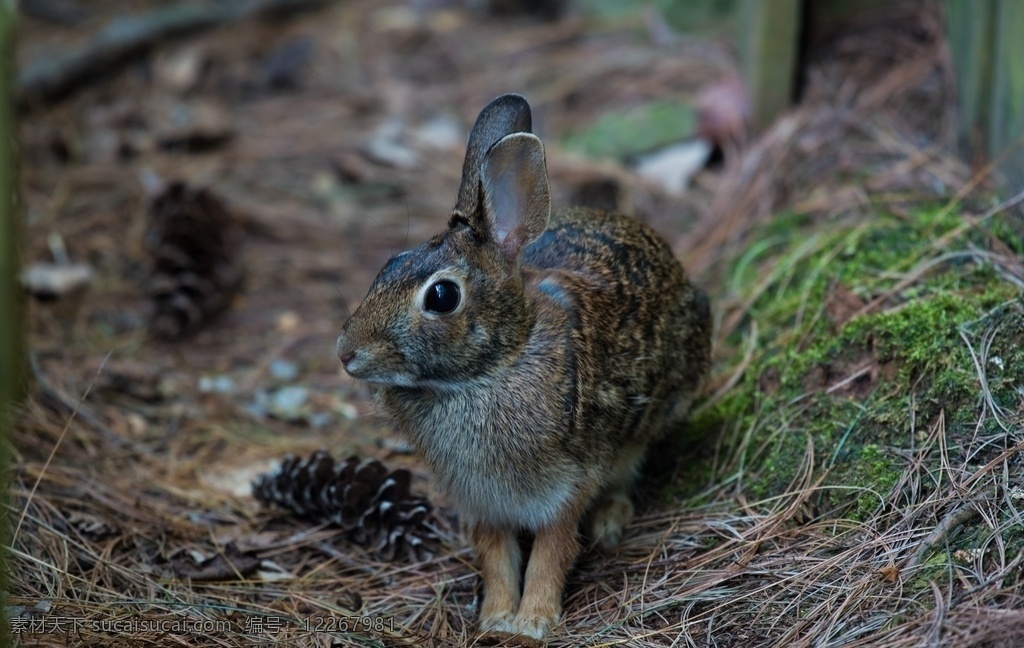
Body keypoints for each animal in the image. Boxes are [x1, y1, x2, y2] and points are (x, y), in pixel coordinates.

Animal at [335, 93, 712, 638]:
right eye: (390, 264)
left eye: (442, 296)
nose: (346, 352)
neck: (492, 368)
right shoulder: (482, 502)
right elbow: (496, 557)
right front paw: (495, 619)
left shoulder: (567, 484)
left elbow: (551, 552)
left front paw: (533, 622)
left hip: (653, 416)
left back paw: (610, 521)